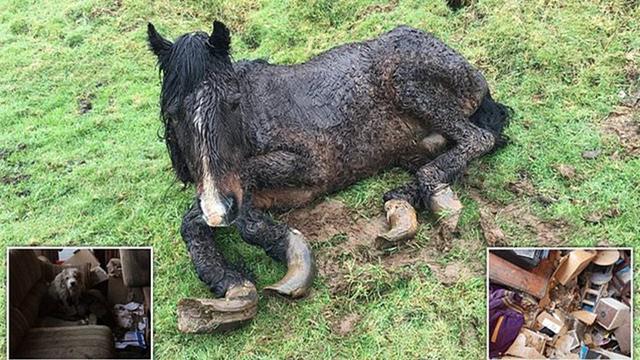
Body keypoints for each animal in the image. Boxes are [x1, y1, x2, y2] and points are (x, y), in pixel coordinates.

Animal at [146, 20, 510, 332]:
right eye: (173, 114)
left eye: (232, 103)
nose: (218, 210)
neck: (253, 118)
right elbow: (192, 222)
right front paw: (233, 287)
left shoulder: (313, 167)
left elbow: (245, 204)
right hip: (412, 142)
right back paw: (404, 202)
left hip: (410, 86)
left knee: (478, 139)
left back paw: (430, 199)